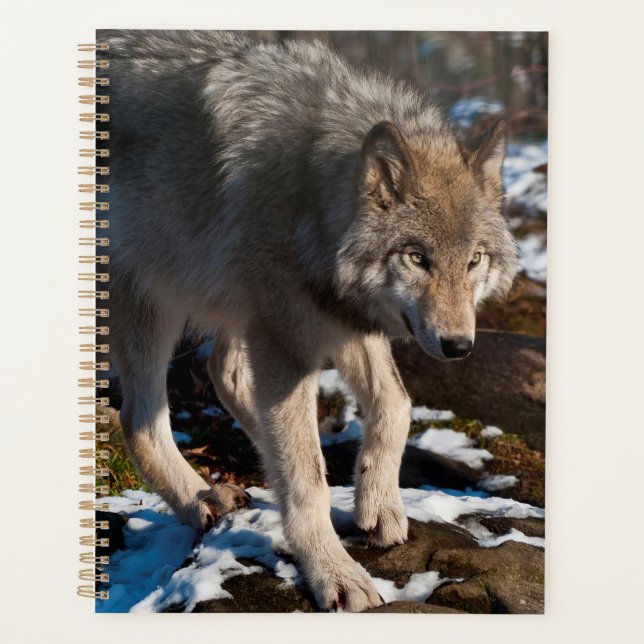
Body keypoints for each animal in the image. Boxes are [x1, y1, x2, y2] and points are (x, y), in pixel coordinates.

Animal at [99, 30, 518, 611]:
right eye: (417, 258)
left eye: (474, 259)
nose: (459, 346)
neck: (310, 196)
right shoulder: (289, 337)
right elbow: (305, 479)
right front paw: (333, 573)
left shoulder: (338, 317)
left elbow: (395, 405)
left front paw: (377, 503)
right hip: (153, 297)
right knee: (140, 420)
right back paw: (201, 499)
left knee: (225, 374)